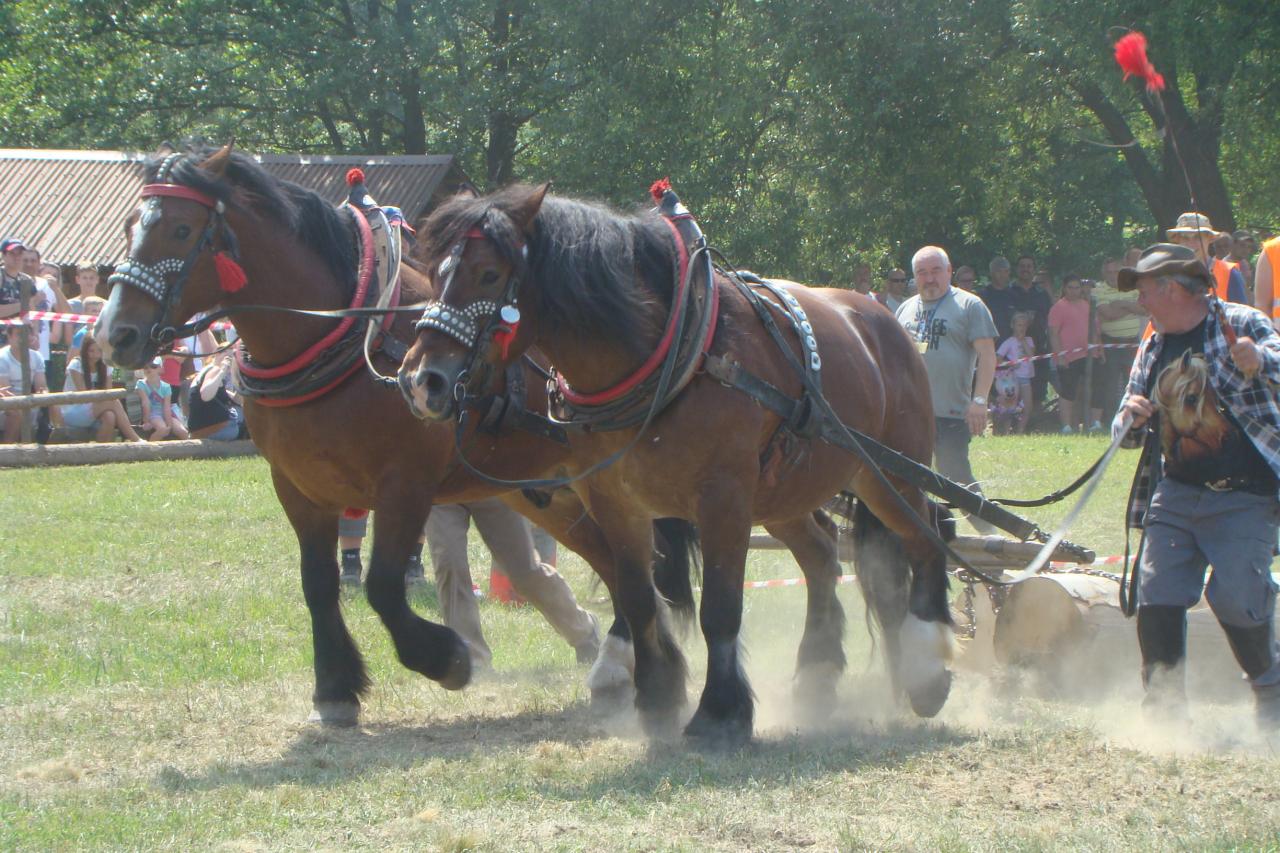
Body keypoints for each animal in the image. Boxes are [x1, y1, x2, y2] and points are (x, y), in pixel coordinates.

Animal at [93, 147, 696, 722]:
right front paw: (334, 688)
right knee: (616, 563)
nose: (114, 333)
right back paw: (618, 664)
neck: (346, 336)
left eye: (180, 229)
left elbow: (383, 584)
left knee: (635, 561)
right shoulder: (298, 486)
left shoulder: (406, 483)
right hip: (546, 492)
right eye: (129, 225)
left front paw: (444, 658)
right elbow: (318, 583)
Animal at [401, 183, 962, 742]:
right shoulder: (614, 500)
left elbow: (720, 608)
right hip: (785, 493)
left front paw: (720, 712)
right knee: (824, 553)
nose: (421, 379)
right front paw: (656, 697)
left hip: (887, 474)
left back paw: (928, 671)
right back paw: (817, 676)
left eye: (489, 274)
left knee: (929, 535)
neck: (675, 356)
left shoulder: (723, 498)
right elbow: (638, 597)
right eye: (435, 274)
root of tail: (888, 325)